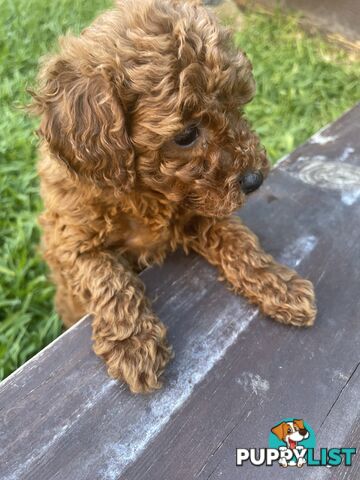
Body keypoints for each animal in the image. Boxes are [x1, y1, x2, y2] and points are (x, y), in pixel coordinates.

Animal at [32, 0, 316, 392]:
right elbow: (107, 277)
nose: (255, 179)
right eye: (186, 135)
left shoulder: (200, 210)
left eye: (238, 106)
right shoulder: (69, 240)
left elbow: (240, 241)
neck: (142, 193)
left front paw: (279, 283)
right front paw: (134, 343)